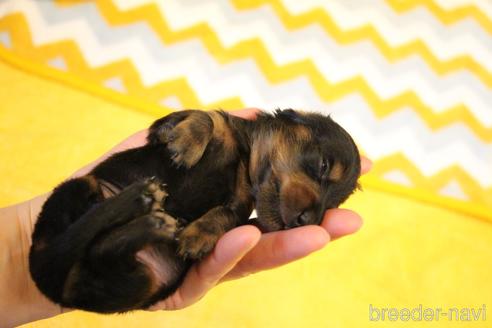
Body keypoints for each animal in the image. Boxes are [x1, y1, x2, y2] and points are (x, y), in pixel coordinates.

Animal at [29, 109, 362, 312]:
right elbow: (208, 116)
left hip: (138, 282)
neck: (244, 156)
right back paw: (142, 199)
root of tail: (52, 286)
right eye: (323, 165)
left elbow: (224, 216)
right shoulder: (163, 127)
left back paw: (154, 219)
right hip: (81, 189)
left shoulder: (238, 203)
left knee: (102, 249)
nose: (308, 220)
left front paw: (196, 237)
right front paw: (187, 145)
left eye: (332, 205)